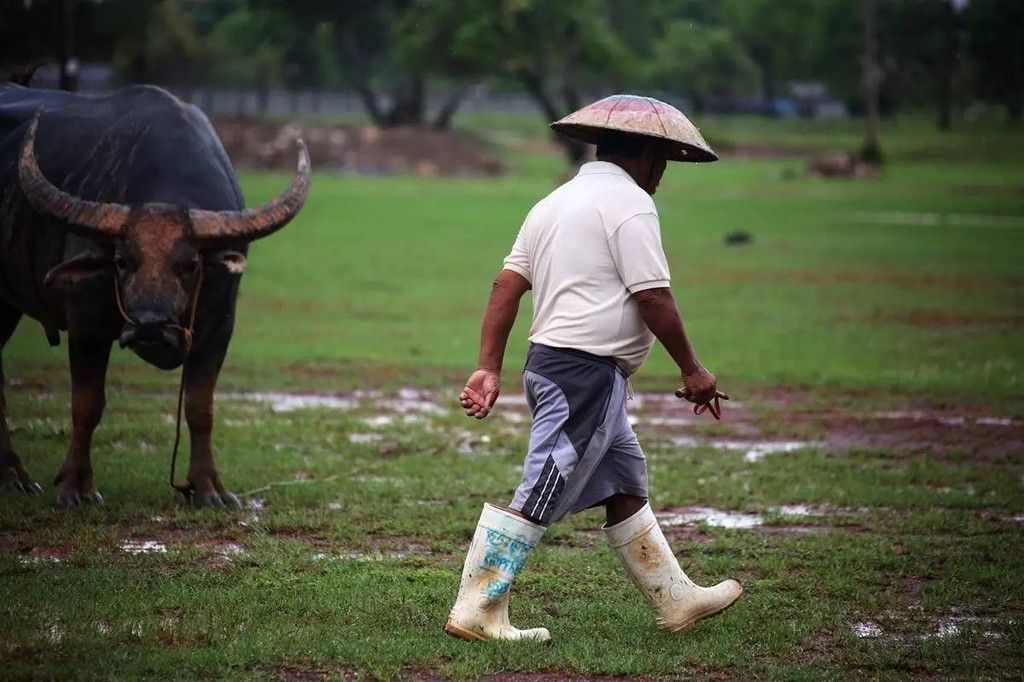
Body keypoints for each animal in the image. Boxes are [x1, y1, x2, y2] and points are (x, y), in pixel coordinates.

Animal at [1, 83, 311, 503]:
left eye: (191, 264)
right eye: (122, 261)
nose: (150, 326)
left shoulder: (218, 327)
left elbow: (200, 408)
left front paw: (208, 488)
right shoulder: (86, 321)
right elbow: (86, 404)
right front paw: (76, 486)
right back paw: (14, 475)